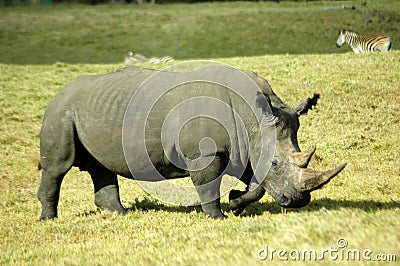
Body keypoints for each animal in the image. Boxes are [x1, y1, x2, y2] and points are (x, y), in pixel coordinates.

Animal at [37, 63, 346, 219]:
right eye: (275, 164)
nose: (297, 202)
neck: (254, 117)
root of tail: (59, 92)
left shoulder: (245, 145)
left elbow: (256, 187)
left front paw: (235, 203)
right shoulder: (207, 153)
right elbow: (209, 185)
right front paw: (218, 217)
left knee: (101, 165)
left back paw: (120, 214)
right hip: (60, 112)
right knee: (58, 167)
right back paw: (49, 219)